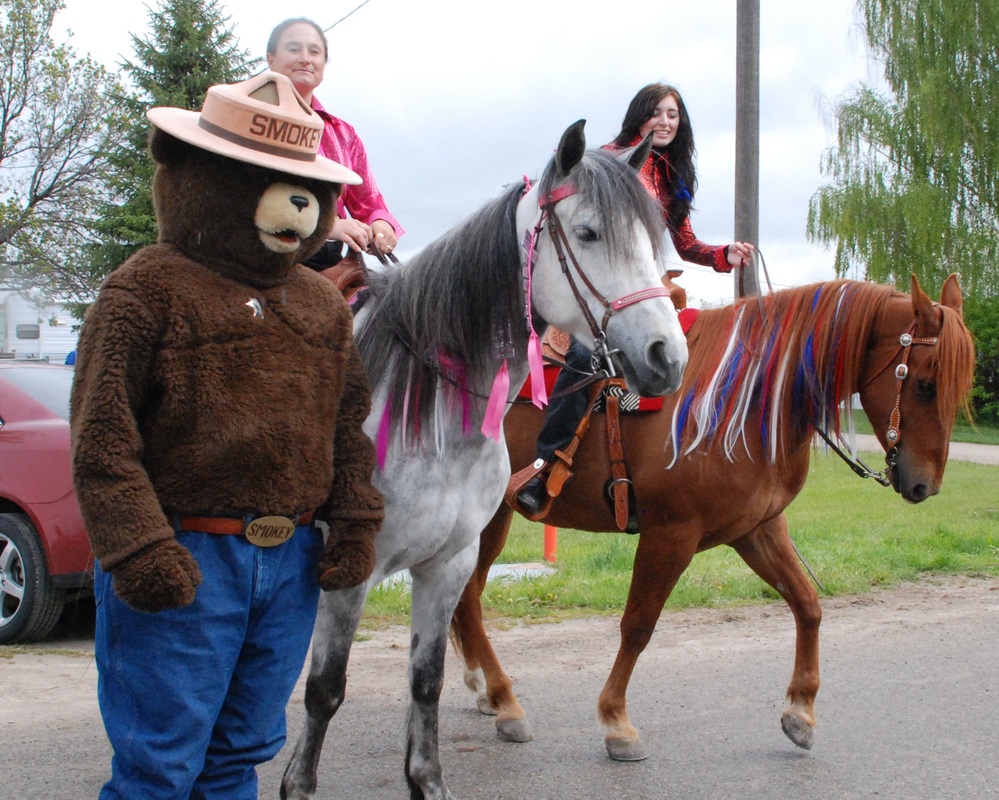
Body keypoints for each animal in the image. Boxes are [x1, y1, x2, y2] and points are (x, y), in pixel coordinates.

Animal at [282, 120, 688, 800]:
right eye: (587, 233)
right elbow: (324, 691)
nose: (666, 357)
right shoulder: (351, 571)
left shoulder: (446, 565)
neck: (426, 408)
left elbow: (425, 683)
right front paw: (297, 784)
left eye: (653, 241)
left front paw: (428, 781)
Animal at [452, 274, 976, 764]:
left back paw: (487, 692)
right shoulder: (670, 535)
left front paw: (800, 712)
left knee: (466, 598)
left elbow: (807, 604)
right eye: (925, 384)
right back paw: (505, 701)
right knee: (470, 601)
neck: (742, 398)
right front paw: (617, 722)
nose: (924, 486)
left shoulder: (758, 528)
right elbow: (638, 625)